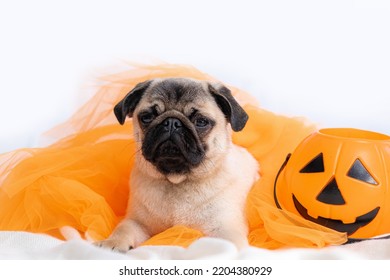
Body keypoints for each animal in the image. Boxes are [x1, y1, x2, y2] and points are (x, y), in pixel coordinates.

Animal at [95, 77, 258, 252]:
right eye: (147, 117)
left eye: (201, 122)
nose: (172, 122)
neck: (176, 181)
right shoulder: (137, 222)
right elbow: (123, 228)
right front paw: (112, 242)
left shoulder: (226, 229)